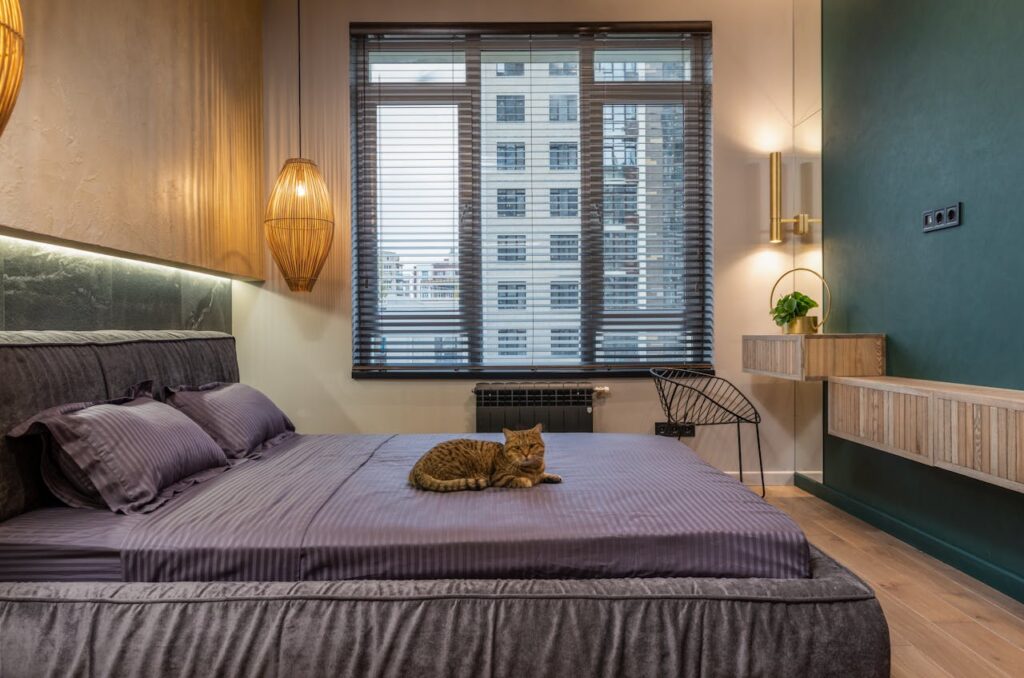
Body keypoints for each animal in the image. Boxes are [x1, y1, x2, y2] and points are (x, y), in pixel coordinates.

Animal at [405, 426, 561, 493]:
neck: (533, 468)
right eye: (517, 448)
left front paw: (552, 476)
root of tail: (418, 467)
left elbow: (543, 475)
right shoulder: (498, 477)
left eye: (532, 446)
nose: (526, 454)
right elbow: (518, 479)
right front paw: (526, 480)